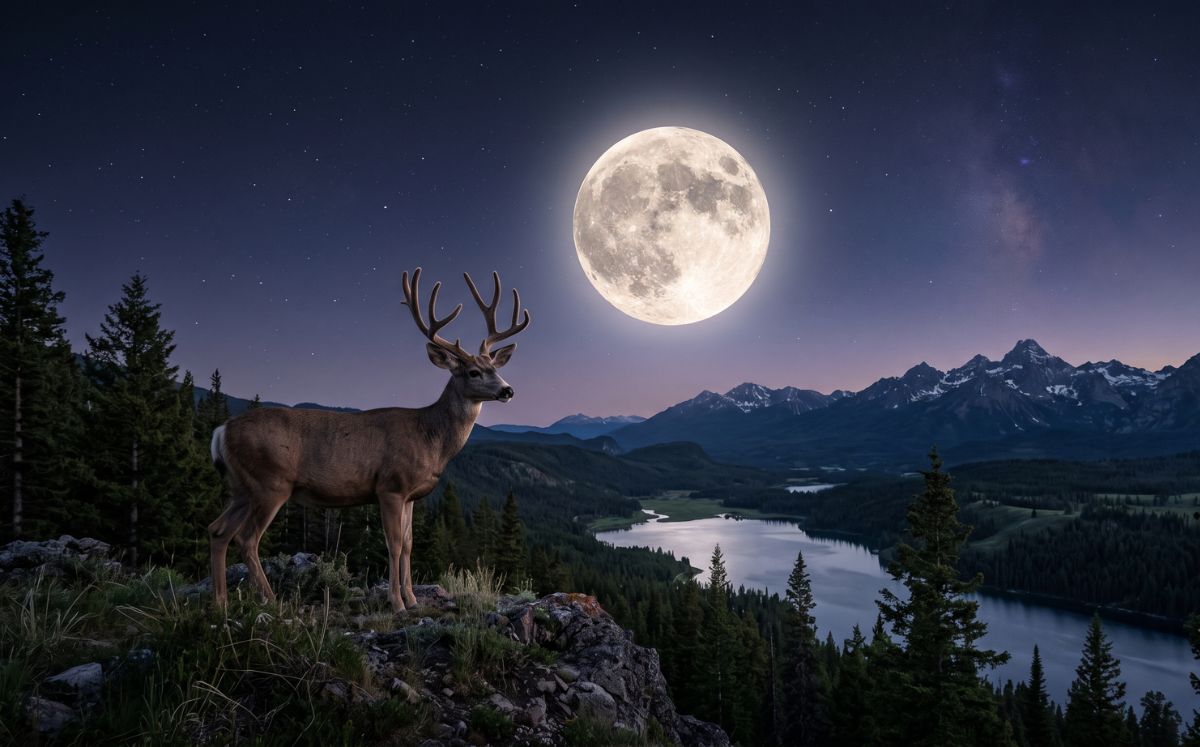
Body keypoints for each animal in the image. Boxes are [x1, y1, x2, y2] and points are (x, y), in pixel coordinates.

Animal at [207, 267, 530, 612]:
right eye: (473, 372)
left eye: (494, 367)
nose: (508, 390)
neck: (431, 437)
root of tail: (221, 430)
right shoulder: (390, 486)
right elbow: (394, 544)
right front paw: (397, 602)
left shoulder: (412, 495)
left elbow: (410, 544)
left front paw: (413, 599)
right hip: (271, 483)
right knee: (247, 538)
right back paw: (270, 599)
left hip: (242, 487)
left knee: (218, 530)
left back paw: (220, 602)